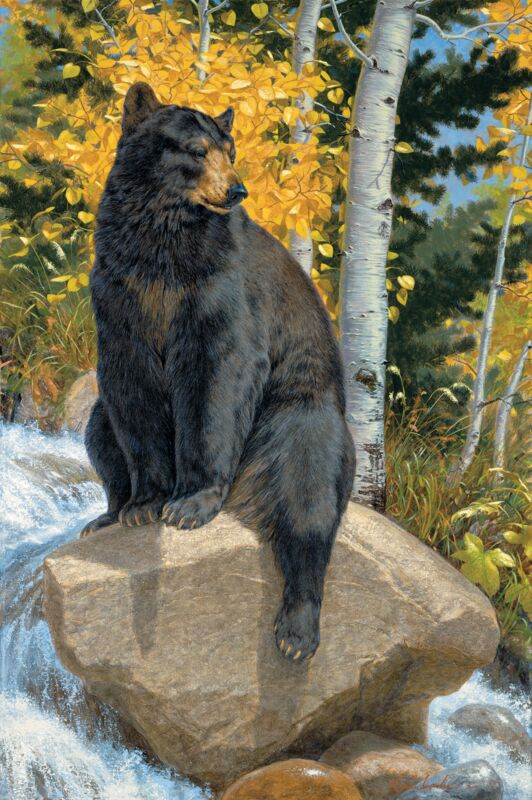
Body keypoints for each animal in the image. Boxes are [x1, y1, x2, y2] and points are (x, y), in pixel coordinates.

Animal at [82, 82, 355, 662]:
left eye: (230, 149)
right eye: (196, 150)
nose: (236, 190)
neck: (163, 235)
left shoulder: (217, 287)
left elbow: (219, 375)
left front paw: (190, 503)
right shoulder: (121, 292)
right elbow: (130, 390)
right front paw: (145, 503)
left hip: (299, 418)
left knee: (307, 497)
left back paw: (296, 632)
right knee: (99, 432)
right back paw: (106, 515)